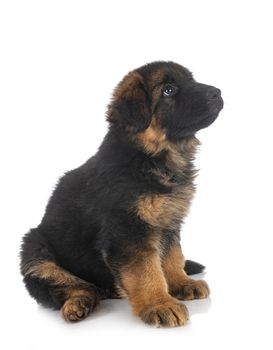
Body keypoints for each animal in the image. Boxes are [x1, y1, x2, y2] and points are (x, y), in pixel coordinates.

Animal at [19, 61, 223, 326]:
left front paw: (180, 282)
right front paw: (159, 303)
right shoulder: (128, 230)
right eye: (168, 90)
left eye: (191, 80)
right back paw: (78, 303)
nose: (217, 93)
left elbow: (172, 256)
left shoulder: (168, 221)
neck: (149, 156)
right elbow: (146, 270)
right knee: (71, 285)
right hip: (35, 249)